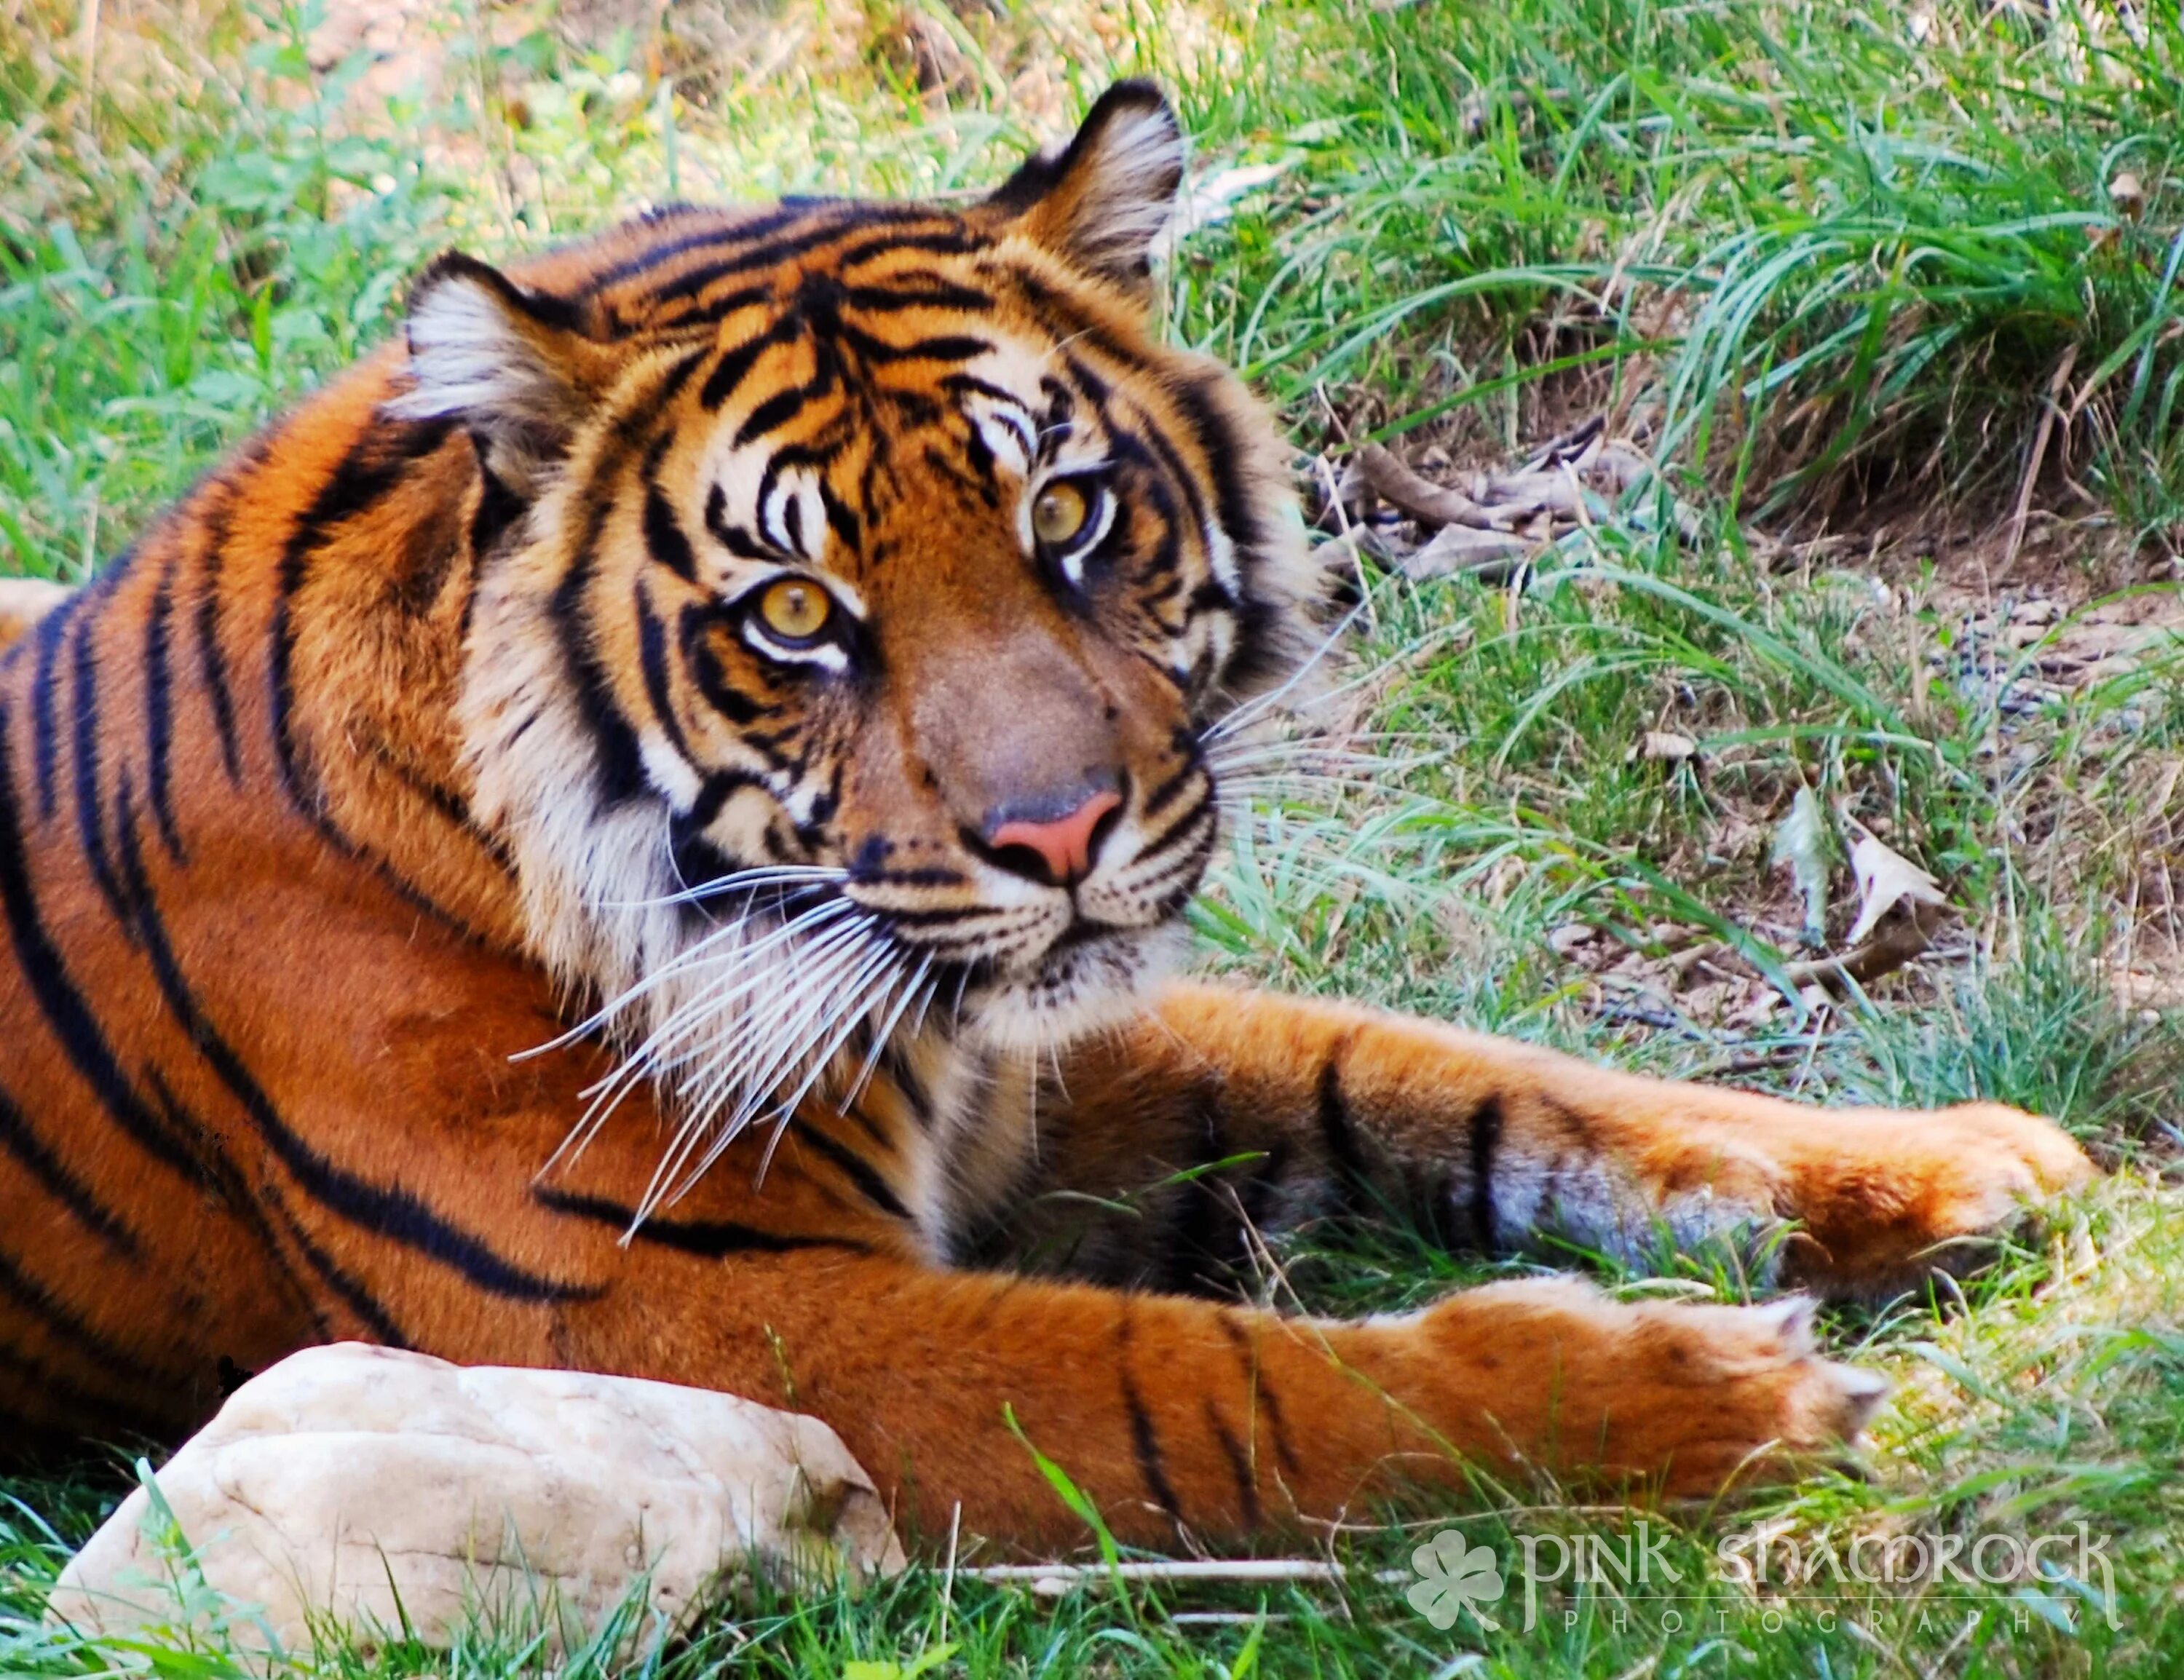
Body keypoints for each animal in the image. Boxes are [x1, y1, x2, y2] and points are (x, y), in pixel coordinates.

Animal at [0, 79, 2088, 1546]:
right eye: (796, 613)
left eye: (1067, 513)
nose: (1065, 837)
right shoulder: (676, 1315)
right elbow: (1225, 1390)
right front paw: (1705, 1392)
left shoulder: (1019, 1074)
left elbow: (1463, 1073)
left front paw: (1946, 1159)